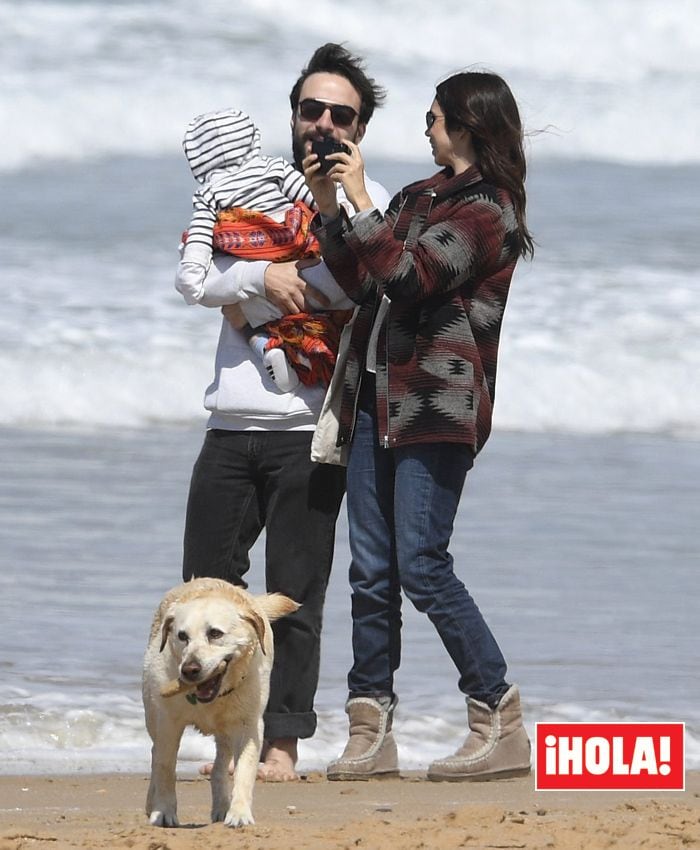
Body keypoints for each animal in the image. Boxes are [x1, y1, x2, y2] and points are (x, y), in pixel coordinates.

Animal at [142, 580, 298, 824]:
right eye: (182, 636)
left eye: (215, 633)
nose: (190, 669)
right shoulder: (168, 722)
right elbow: (165, 768)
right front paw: (164, 812)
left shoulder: (249, 725)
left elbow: (245, 769)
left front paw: (239, 813)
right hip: (152, 715)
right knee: (155, 755)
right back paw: (152, 802)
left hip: (226, 730)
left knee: (219, 767)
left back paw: (222, 806)